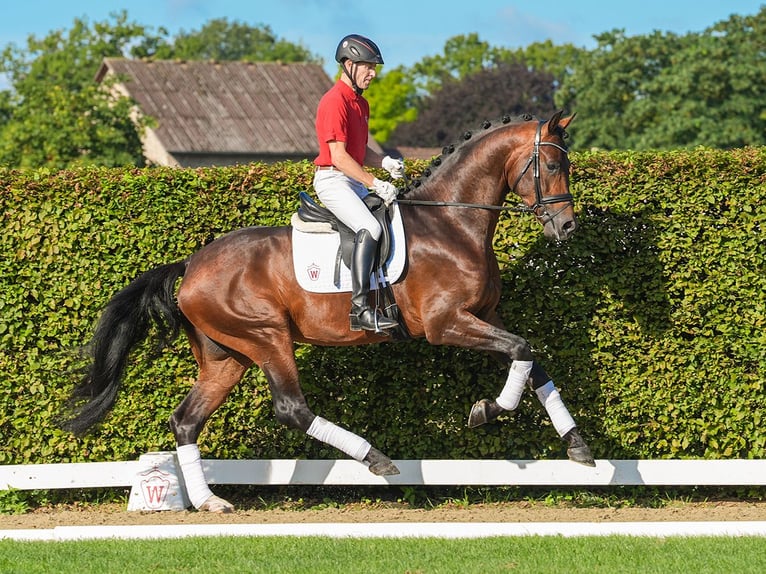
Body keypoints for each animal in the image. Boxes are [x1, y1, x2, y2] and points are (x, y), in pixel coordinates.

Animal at [66, 111, 592, 512]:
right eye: (550, 163)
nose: (567, 228)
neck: (452, 222)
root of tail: (192, 264)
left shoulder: (488, 316)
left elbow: (532, 360)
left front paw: (578, 445)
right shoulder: (447, 324)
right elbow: (522, 351)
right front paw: (487, 410)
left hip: (226, 357)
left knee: (186, 421)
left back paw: (210, 501)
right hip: (266, 337)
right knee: (291, 408)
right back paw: (374, 457)